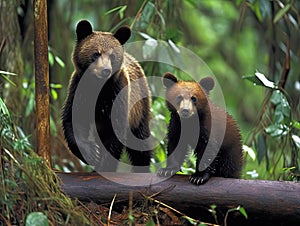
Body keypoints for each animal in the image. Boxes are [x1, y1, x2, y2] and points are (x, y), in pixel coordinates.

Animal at [62, 20, 152, 171]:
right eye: (96, 54)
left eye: (112, 56)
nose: (105, 70)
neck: (98, 86)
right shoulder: (80, 90)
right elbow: (73, 120)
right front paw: (92, 152)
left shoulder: (117, 94)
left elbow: (115, 133)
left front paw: (104, 165)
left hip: (140, 106)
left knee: (140, 140)